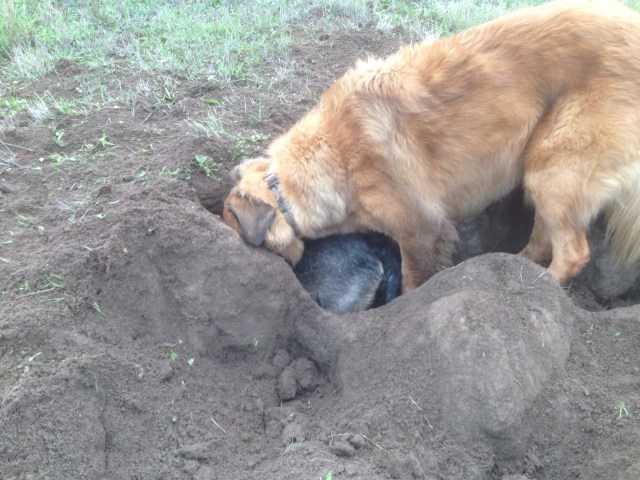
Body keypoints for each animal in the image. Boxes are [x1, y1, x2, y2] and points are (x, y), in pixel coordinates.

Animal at [223, 0, 640, 292]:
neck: (334, 151)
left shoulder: (419, 231)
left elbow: (412, 280)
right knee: (542, 237)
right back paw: (510, 269)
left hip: (554, 166)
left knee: (572, 252)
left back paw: (537, 286)